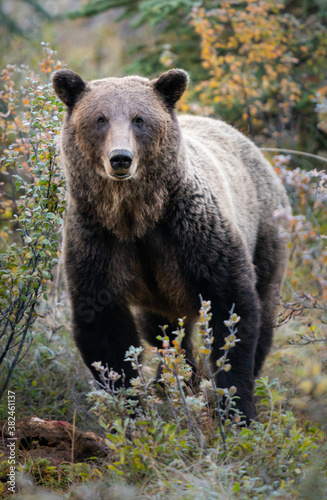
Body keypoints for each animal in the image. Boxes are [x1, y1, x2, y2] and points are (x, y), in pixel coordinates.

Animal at [52, 68, 290, 422]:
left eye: (139, 119)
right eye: (99, 119)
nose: (120, 159)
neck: (136, 216)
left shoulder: (193, 235)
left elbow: (232, 311)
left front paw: (237, 410)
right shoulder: (98, 241)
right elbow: (104, 325)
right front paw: (131, 407)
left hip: (265, 230)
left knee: (263, 305)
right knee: (162, 329)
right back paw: (171, 380)